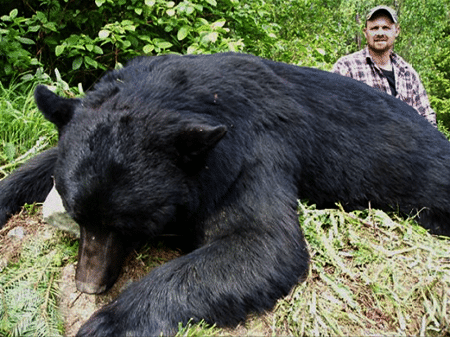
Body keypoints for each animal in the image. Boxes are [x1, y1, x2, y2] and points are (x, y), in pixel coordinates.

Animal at [0, 53, 450, 334]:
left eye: (127, 224)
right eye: (77, 214)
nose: (89, 286)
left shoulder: (250, 151)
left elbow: (262, 243)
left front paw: (107, 321)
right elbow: (42, 162)